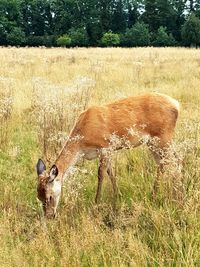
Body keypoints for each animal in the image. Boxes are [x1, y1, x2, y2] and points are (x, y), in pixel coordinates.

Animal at [36, 93, 180, 219]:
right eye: (38, 196)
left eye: (49, 196)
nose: (49, 216)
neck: (82, 142)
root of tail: (177, 105)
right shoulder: (108, 151)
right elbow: (110, 172)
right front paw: (118, 195)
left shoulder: (105, 147)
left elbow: (101, 174)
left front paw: (96, 204)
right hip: (153, 142)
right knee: (165, 163)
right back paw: (157, 194)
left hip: (163, 137)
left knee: (174, 161)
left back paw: (176, 195)